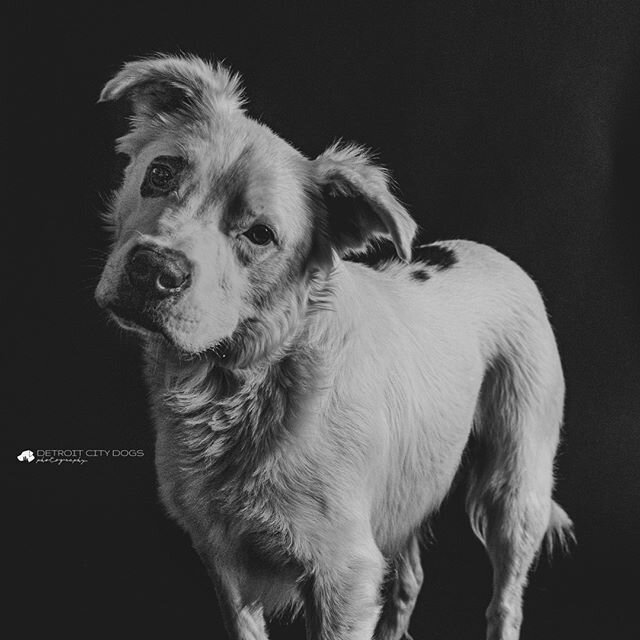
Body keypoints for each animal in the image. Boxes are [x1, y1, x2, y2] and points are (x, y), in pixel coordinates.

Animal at [96, 55, 576, 640]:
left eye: (260, 235)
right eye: (160, 173)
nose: (153, 271)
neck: (245, 382)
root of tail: (491, 254)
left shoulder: (344, 578)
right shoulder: (226, 562)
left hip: (515, 488)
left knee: (505, 601)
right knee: (410, 576)